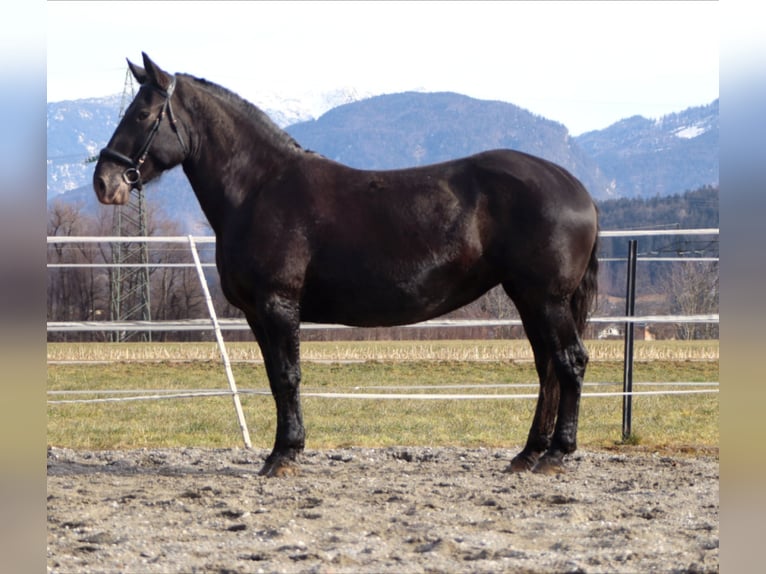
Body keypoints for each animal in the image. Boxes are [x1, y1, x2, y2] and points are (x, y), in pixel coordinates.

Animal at [94, 53, 600, 476]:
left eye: (142, 115)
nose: (105, 181)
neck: (260, 189)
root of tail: (575, 187)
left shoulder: (278, 305)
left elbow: (288, 376)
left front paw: (284, 456)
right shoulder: (257, 314)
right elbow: (276, 379)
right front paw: (283, 451)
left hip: (545, 299)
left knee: (569, 362)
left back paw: (556, 455)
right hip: (529, 299)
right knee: (547, 367)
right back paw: (528, 454)